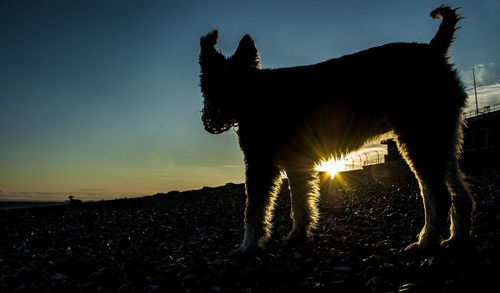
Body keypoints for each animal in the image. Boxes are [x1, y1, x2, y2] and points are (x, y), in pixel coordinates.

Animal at [198, 6, 472, 253]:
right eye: (209, 84)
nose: (210, 120)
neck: (252, 93)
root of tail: (434, 49)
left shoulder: (259, 163)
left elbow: (253, 210)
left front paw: (246, 247)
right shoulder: (296, 164)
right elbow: (300, 204)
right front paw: (297, 236)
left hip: (419, 137)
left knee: (439, 195)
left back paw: (426, 242)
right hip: (440, 137)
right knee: (459, 192)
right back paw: (456, 238)